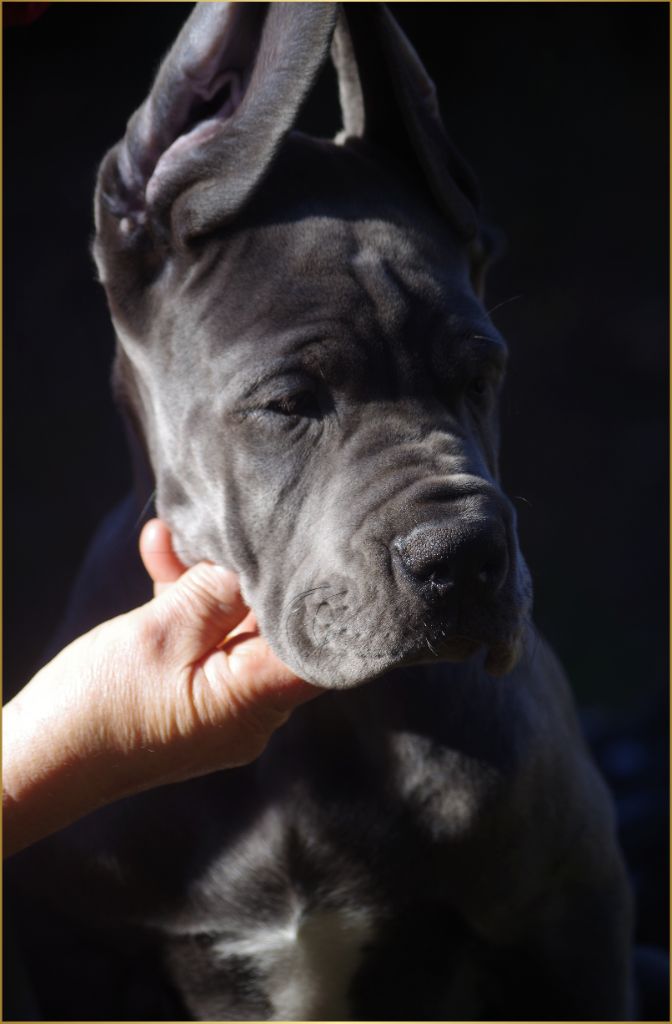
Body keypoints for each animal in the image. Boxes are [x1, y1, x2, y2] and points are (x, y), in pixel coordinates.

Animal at [10, 3, 634, 1020]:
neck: (314, 745)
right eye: (290, 402)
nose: (465, 557)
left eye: (482, 375)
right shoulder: (76, 943)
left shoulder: (573, 910)